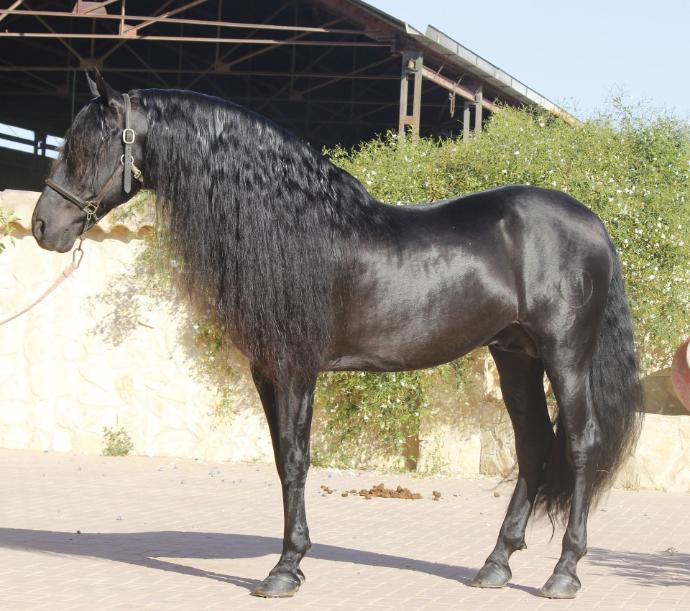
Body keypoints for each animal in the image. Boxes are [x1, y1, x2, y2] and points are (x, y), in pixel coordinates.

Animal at [31, 71, 642, 600]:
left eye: (88, 146)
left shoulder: (296, 368)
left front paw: (285, 569)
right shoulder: (267, 371)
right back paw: (495, 564)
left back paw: (564, 572)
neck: (291, 226)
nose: (43, 226)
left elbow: (297, 459)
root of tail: (593, 223)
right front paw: (291, 561)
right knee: (534, 443)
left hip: (565, 353)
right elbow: (282, 460)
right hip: (515, 354)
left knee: (580, 443)